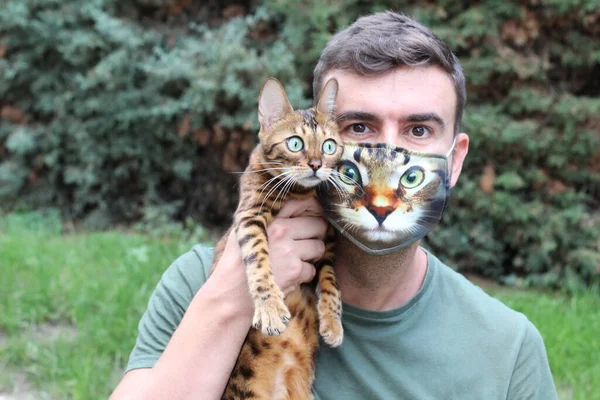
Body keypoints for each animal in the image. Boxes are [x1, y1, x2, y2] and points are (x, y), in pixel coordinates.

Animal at [210, 78, 342, 400]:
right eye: (295, 143)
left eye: (329, 145)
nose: (317, 164)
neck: (300, 193)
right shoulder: (249, 215)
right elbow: (258, 258)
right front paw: (270, 307)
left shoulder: (327, 238)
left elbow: (330, 279)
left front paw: (332, 320)